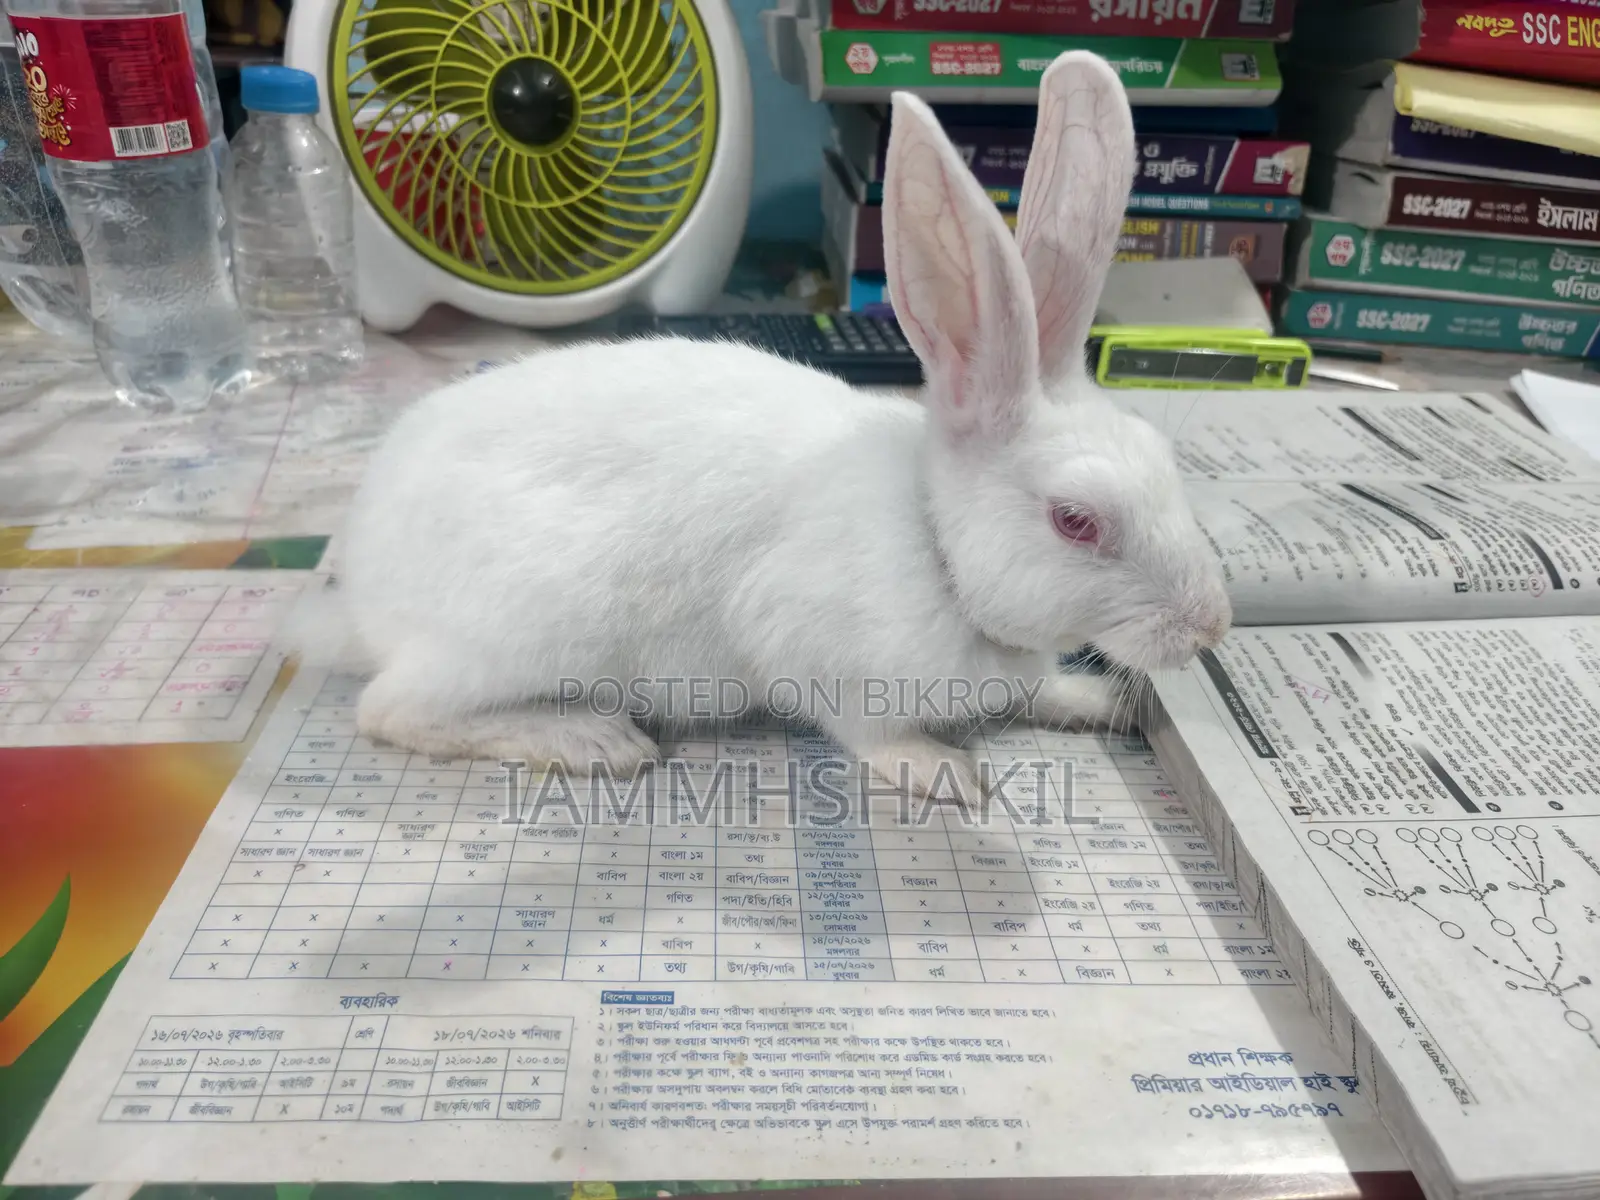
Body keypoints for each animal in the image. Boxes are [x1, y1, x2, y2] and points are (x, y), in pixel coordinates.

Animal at [295, 50, 1232, 806]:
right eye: (1075, 522)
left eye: (1167, 461)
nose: (1211, 627)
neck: (934, 543)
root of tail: (360, 587)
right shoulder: (815, 656)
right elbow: (869, 733)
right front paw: (948, 775)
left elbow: (1036, 692)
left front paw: (1097, 702)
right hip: (516, 635)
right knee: (389, 710)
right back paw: (590, 740)